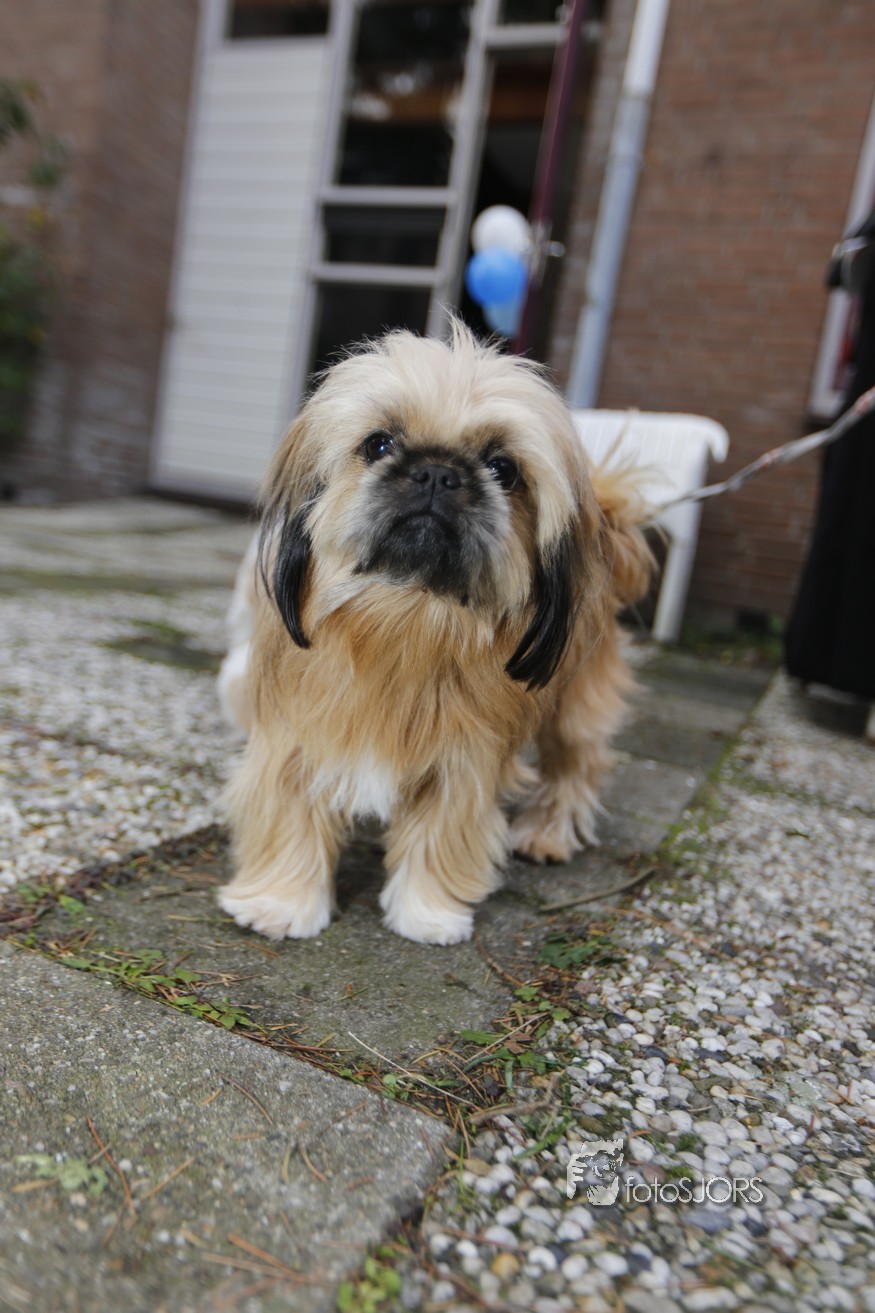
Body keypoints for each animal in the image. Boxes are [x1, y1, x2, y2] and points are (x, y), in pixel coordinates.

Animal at [217, 322, 653, 945]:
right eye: (378, 444)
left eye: (503, 468)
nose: (437, 473)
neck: (408, 616)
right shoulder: (296, 740)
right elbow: (291, 820)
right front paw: (281, 903)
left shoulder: (464, 763)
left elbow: (440, 835)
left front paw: (426, 914)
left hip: (575, 708)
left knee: (577, 767)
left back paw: (548, 833)